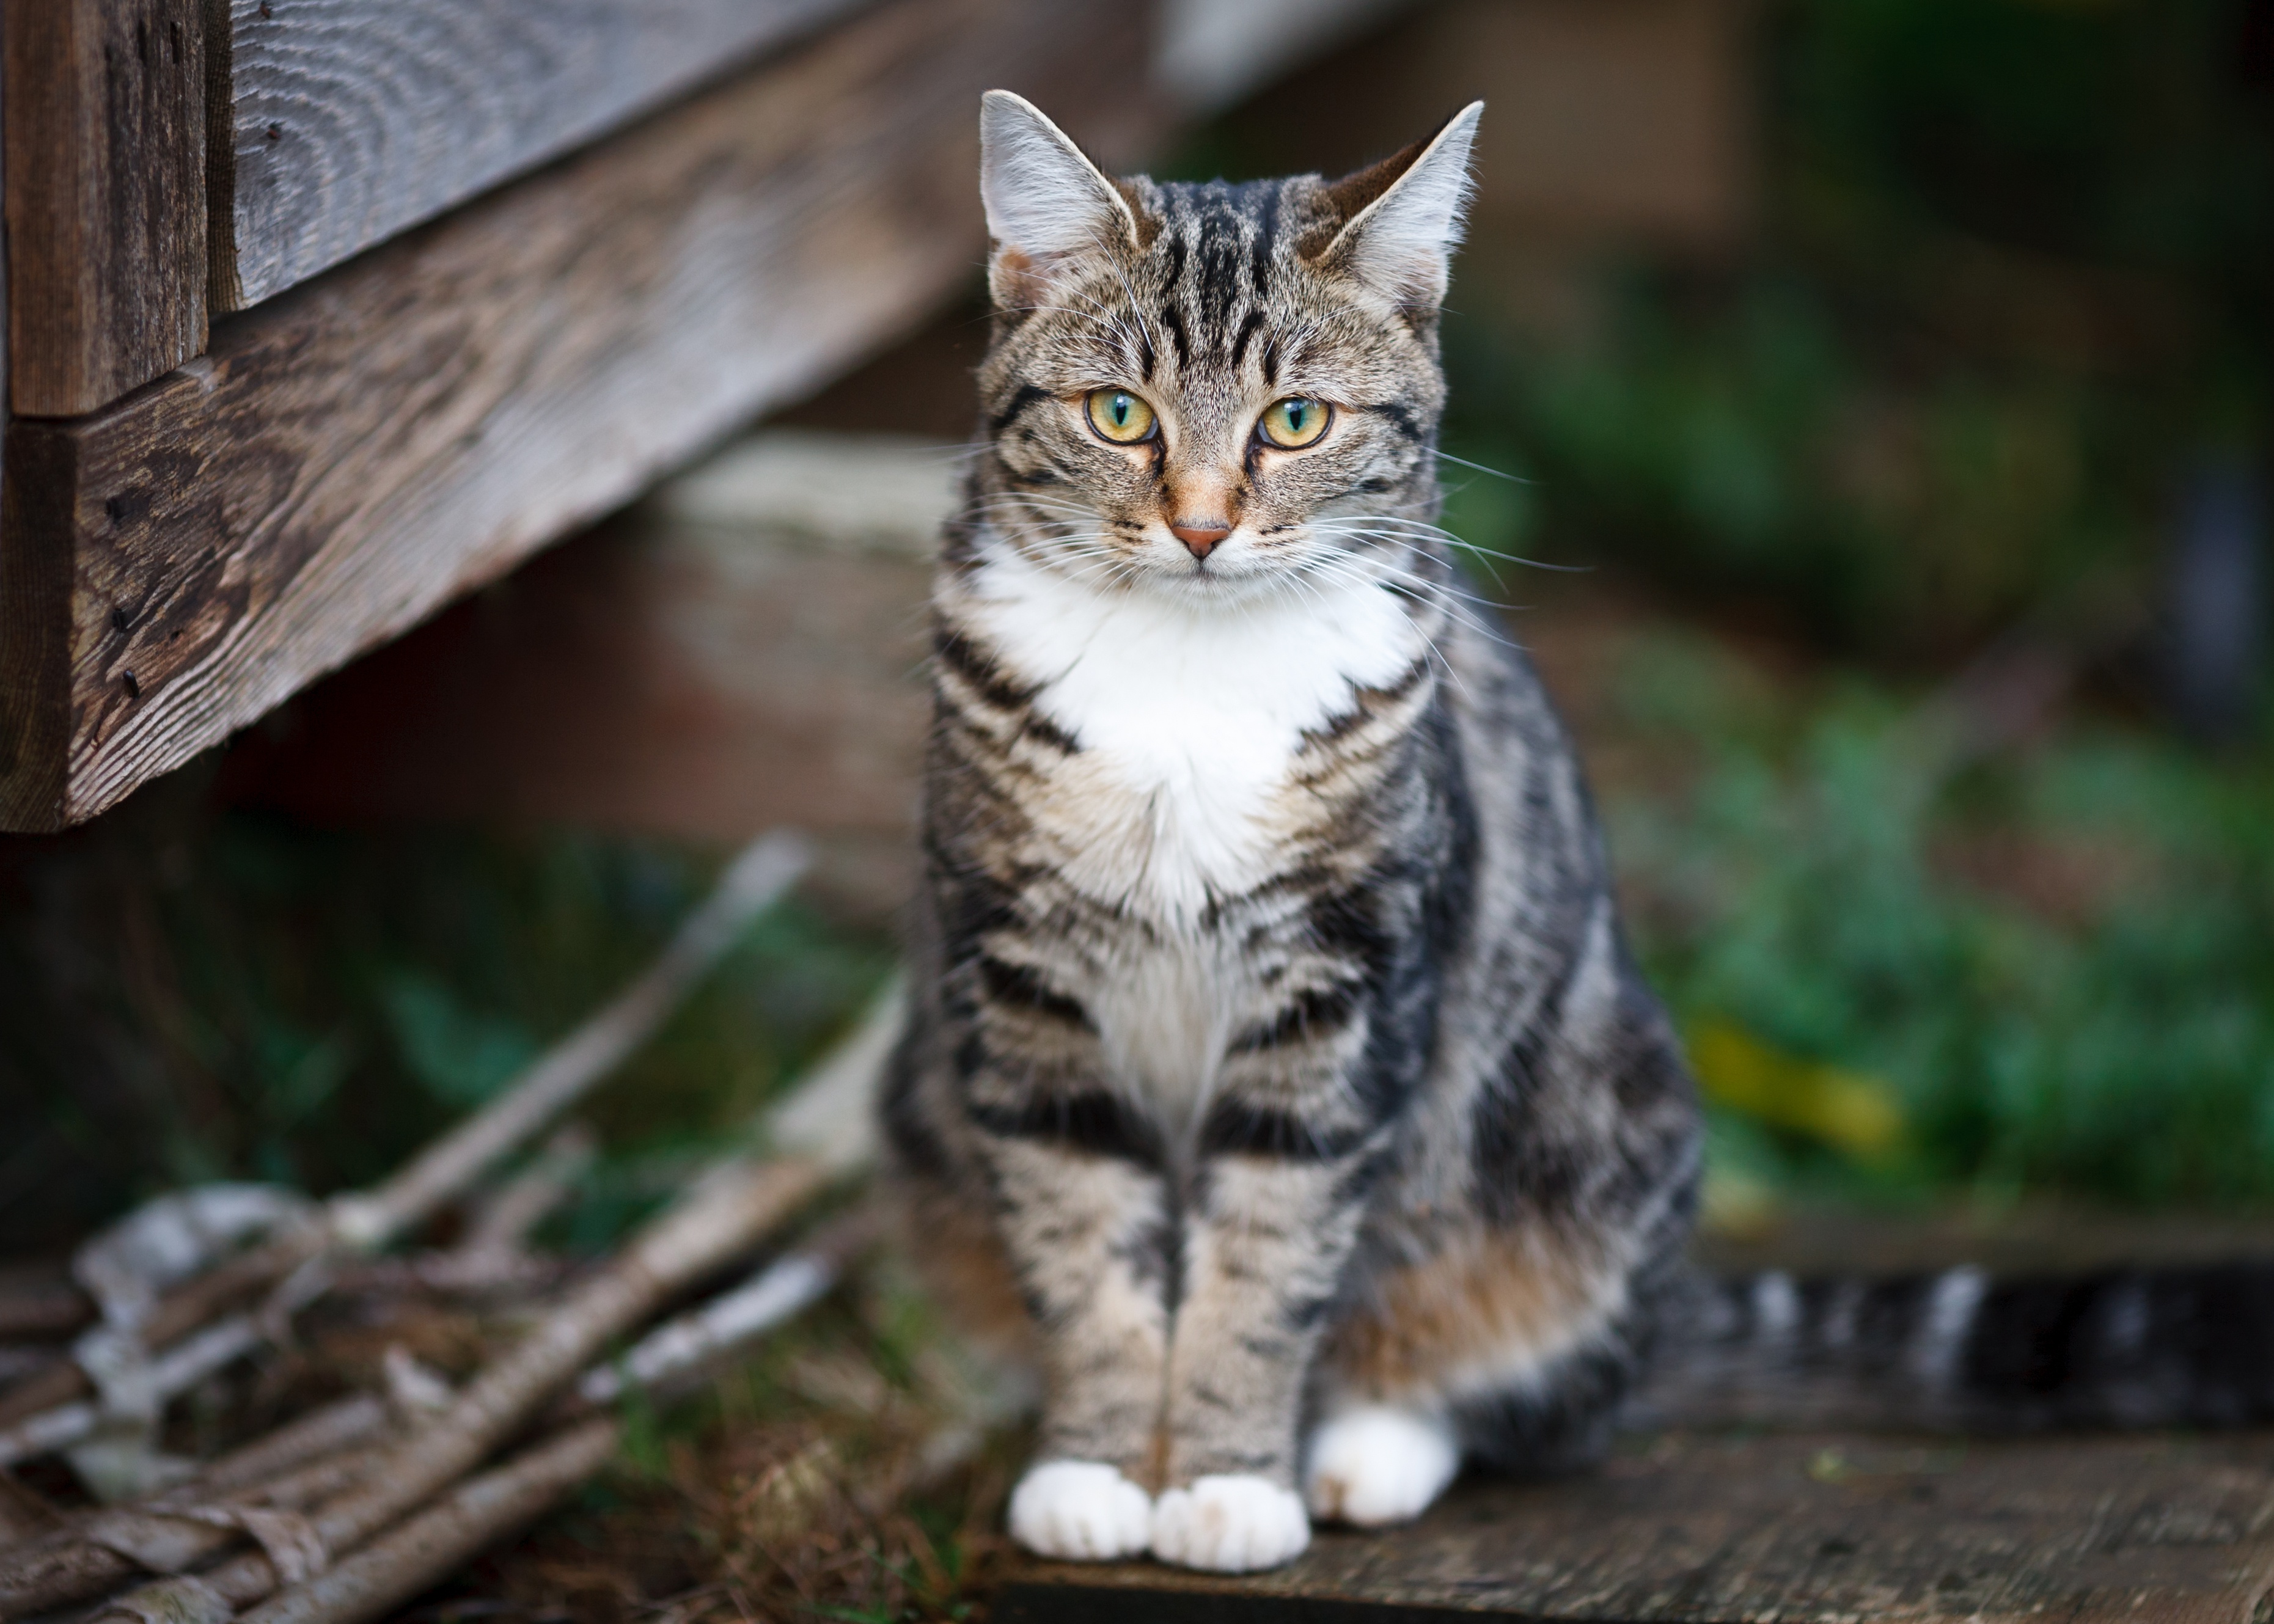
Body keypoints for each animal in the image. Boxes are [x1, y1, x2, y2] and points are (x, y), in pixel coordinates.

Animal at [868, 89, 2274, 1565]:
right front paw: (1095, 1465)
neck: (1188, 684)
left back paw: (1368, 1445)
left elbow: (1271, 1255)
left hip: (1593, 1140)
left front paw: (1228, 1479)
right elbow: (1080, 1238)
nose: (1199, 528)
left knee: (1525, 1386)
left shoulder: (1348, 987)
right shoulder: (1017, 980)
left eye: (1296, 420)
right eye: (1118, 412)